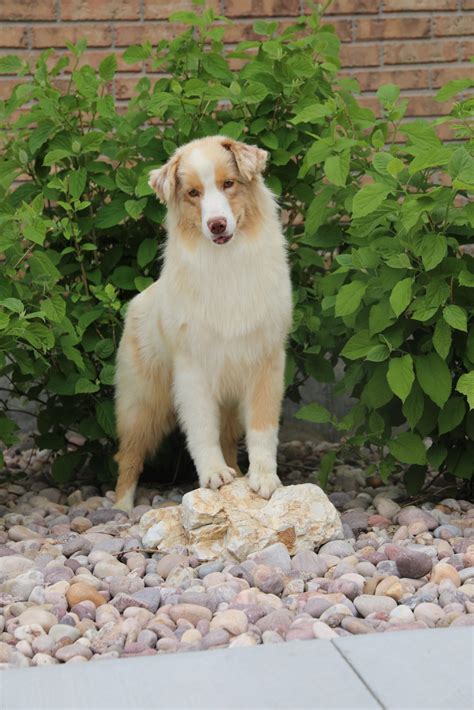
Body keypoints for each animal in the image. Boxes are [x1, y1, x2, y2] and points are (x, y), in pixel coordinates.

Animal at [114, 135, 292, 512]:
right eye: (193, 193)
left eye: (229, 184)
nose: (217, 225)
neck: (225, 263)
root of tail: (138, 299)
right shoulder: (193, 370)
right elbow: (200, 430)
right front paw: (213, 475)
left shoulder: (266, 362)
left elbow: (263, 428)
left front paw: (263, 479)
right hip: (143, 404)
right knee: (128, 455)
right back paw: (121, 508)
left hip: (226, 406)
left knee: (228, 439)